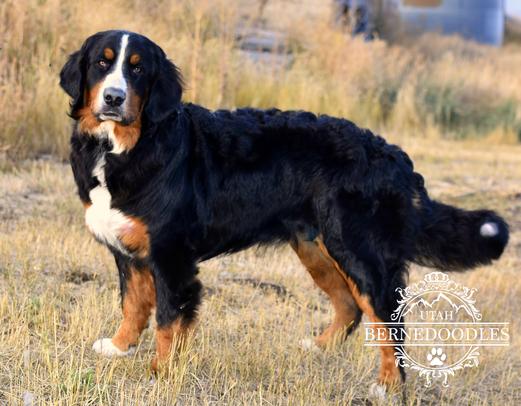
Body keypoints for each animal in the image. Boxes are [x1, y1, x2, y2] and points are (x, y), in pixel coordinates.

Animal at [60, 29, 508, 390]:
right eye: (102, 63)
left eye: (137, 70)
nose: (114, 98)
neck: (126, 146)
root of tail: (391, 154)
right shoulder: (128, 250)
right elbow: (133, 304)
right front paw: (119, 347)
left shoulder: (172, 256)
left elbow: (169, 319)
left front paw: (161, 372)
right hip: (316, 247)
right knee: (349, 307)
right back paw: (319, 347)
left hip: (358, 250)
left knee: (388, 319)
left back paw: (388, 386)